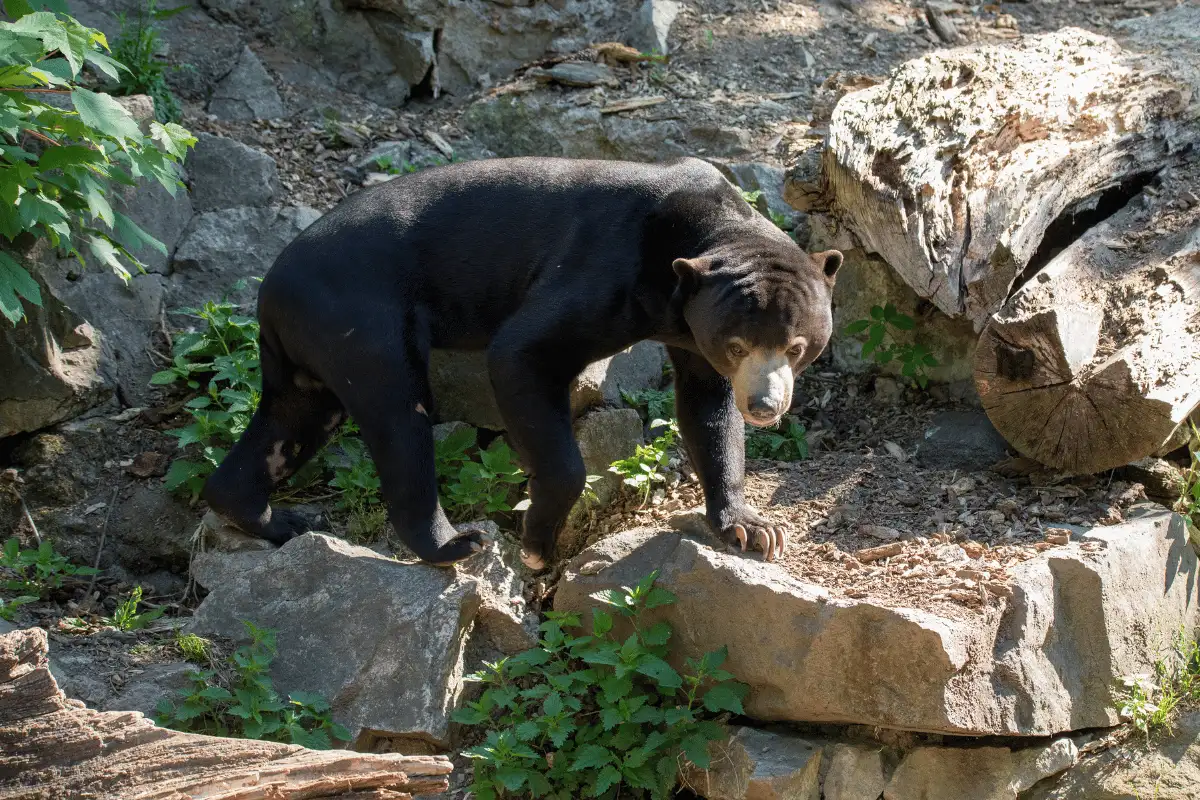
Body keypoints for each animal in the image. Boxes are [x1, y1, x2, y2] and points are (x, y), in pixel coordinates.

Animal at [201, 155, 840, 568]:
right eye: (738, 346)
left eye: (795, 347)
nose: (765, 405)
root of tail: (270, 289)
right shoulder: (603, 270)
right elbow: (522, 353)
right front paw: (536, 546)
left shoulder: (690, 336)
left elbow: (708, 414)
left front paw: (752, 530)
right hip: (361, 317)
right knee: (398, 415)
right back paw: (453, 545)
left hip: (311, 344)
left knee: (292, 419)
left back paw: (272, 518)